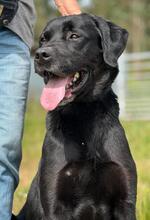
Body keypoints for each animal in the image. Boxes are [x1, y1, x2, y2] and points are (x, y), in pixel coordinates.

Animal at [14, 13, 137, 220]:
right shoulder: (55, 204)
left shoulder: (125, 201)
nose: (40, 55)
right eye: (43, 39)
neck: (83, 115)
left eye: (74, 36)